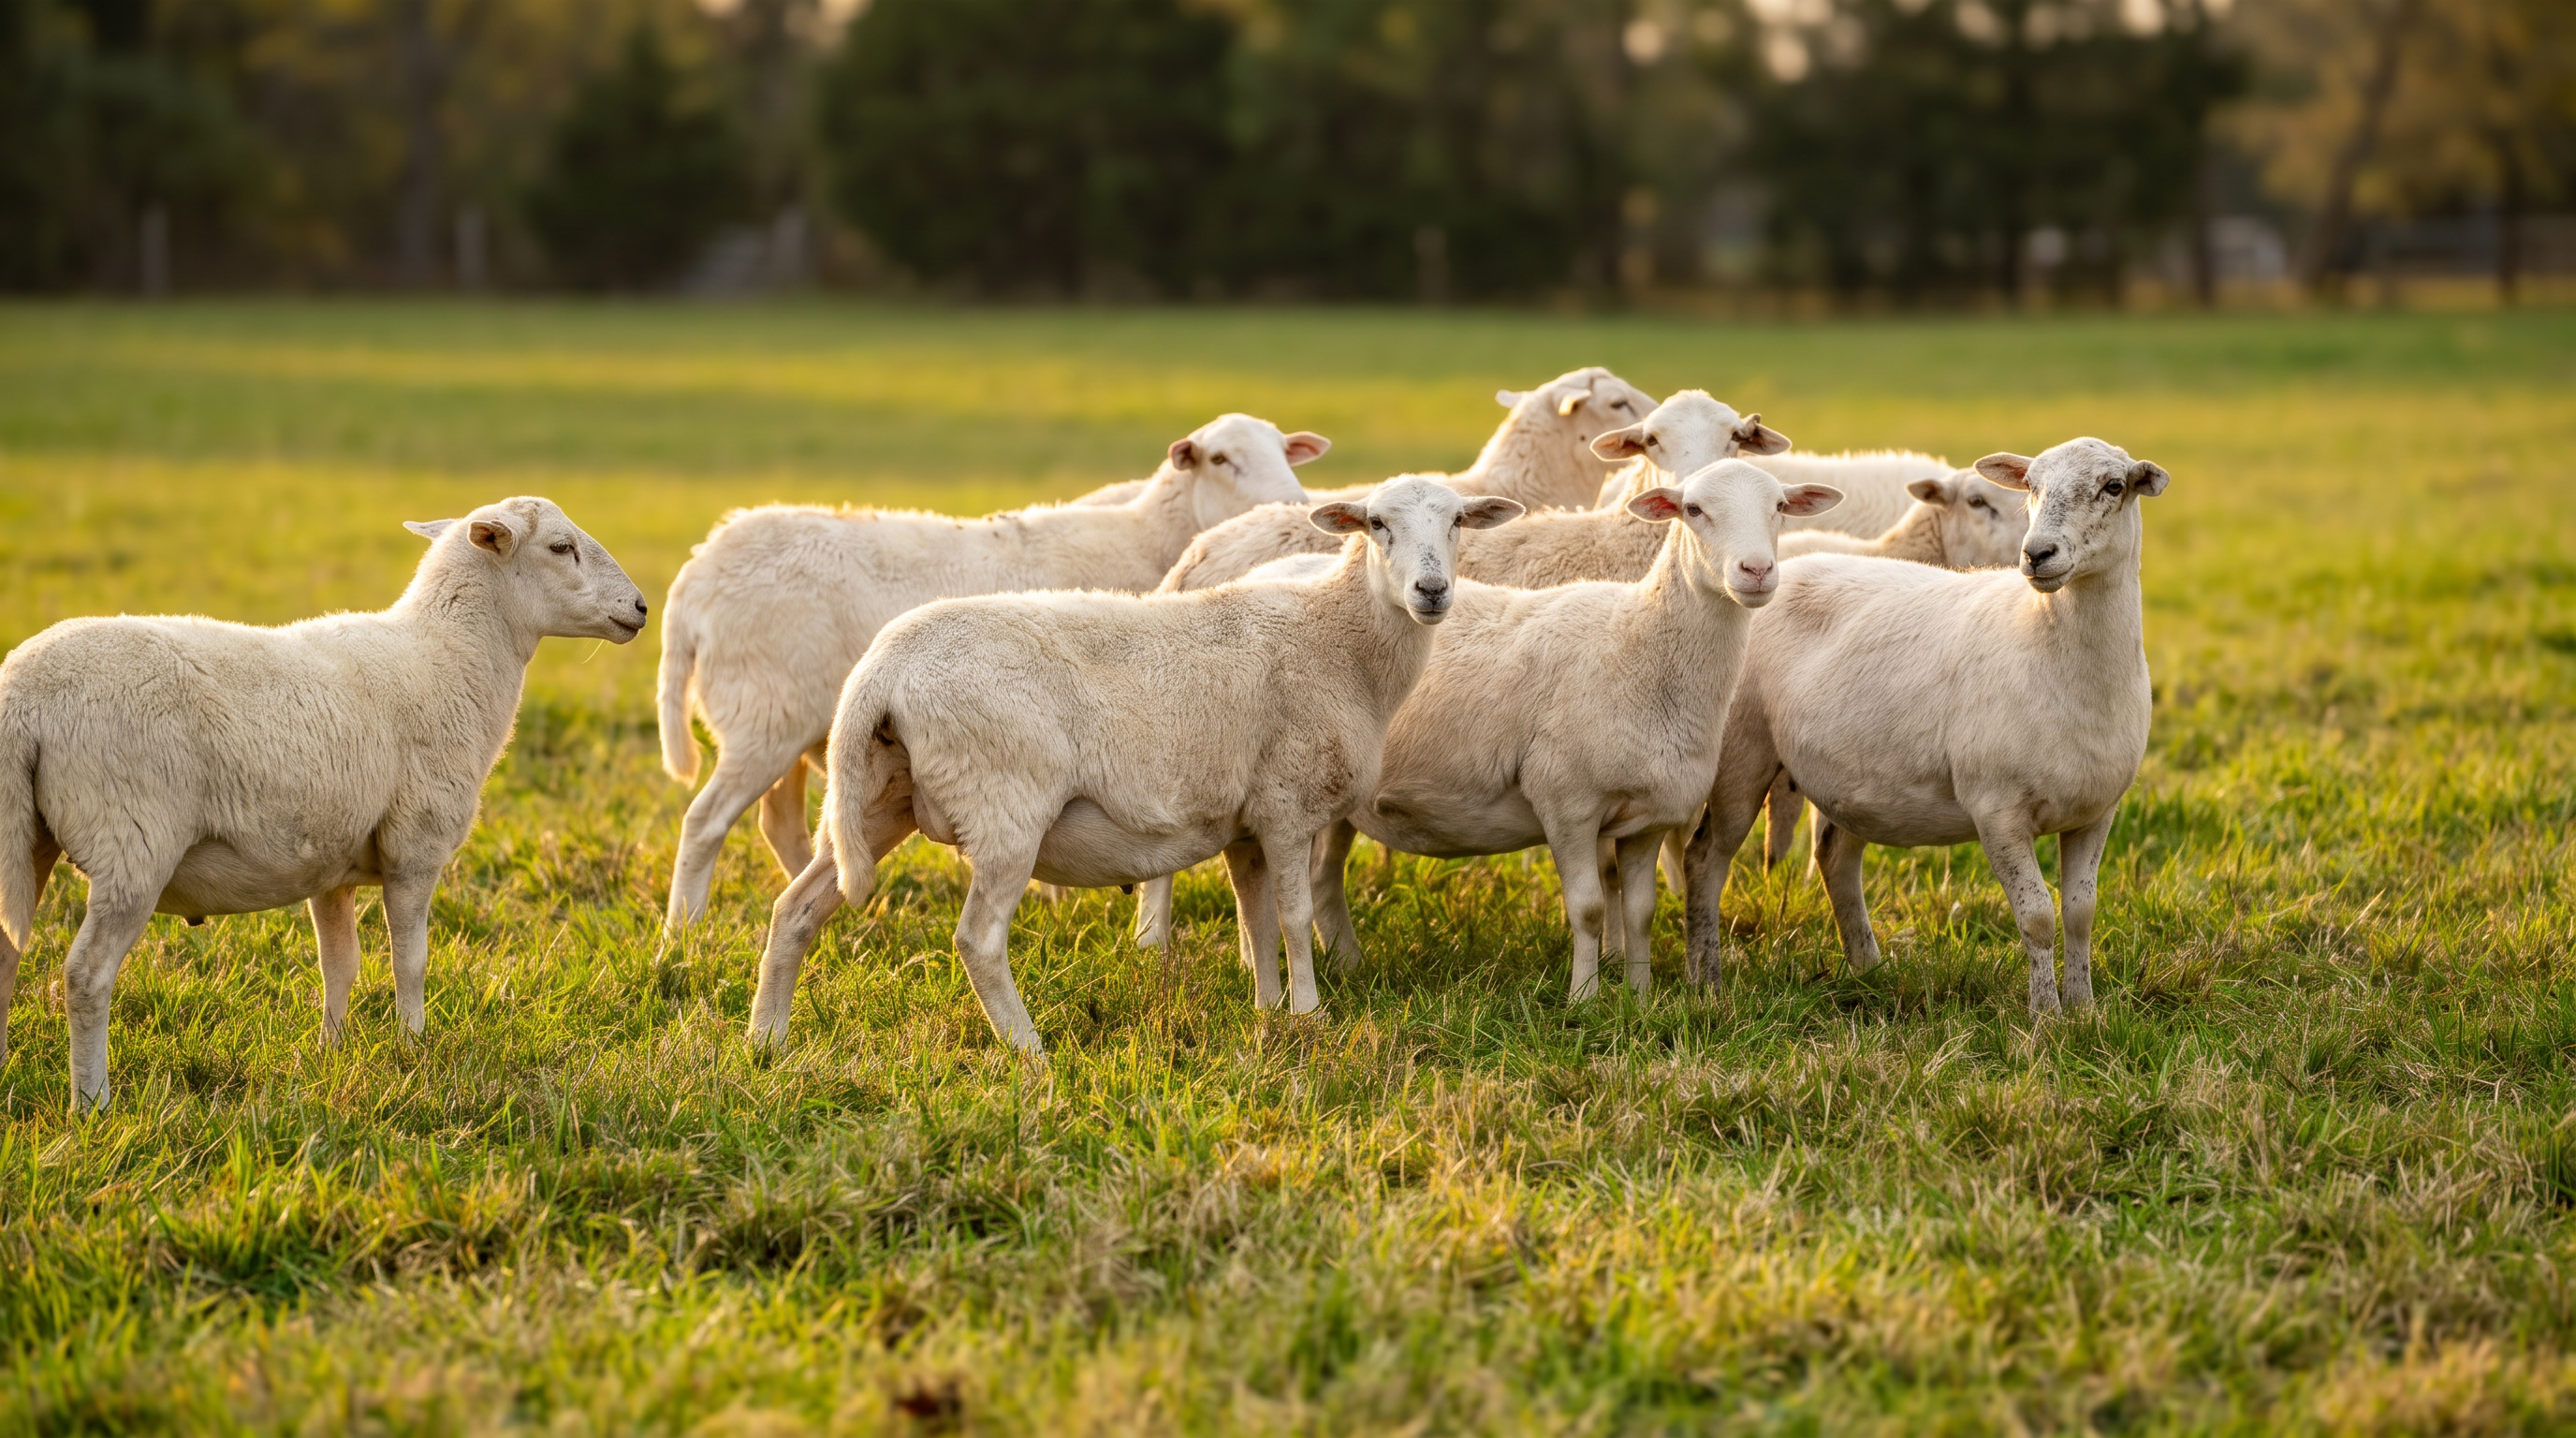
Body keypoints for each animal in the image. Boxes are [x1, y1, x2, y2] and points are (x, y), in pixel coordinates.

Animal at [0, 498, 647, 1110]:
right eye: (561, 547)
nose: (641, 608)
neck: (448, 658)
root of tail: (23, 699)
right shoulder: (415, 845)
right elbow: (410, 961)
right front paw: (414, 1048)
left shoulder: (330, 865)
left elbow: (340, 965)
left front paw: (330, 1053)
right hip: (132, 842)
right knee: (86, 976)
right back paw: (92, 1103)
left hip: (24, 836)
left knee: (6, 956)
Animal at [655, 412, 1327, 930]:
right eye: (1220, 458)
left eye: (1284, 449)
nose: (1295, 505)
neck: (1147, 536)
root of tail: (697, 570)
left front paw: (1056, 902)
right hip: (762, 717)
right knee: (703, 823)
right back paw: (683, 932)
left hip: (792, 730)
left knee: (783, 824)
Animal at [741, 478, 1524, 1052]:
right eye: (1377, 524)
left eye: (1458, 522)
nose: (1431, 592)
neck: (1341, 640)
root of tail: (880, 670)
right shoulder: (1285, 805)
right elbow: (1296, 916)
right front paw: (1310, 1016)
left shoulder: (1245, 822)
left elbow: (1256, 920)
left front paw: (1268, 1012)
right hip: (1003, 807)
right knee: (978, 940)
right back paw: (1028, 1051)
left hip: (878, 797)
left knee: (795, 909)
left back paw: (766, 1042)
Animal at [1677, 438, 2169, 1015]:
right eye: (2030, 486)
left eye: (2114, 486)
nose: (2036, 554)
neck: (2047, 644)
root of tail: (1783, 566)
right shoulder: (1996, 809)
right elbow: (2038, 918)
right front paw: (2046, 1017)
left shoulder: (2096, 811)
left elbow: (2080, 914)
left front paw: (2085, 1010)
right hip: (1740, 755)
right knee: (1704, 858)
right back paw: (1705, 980)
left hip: (1851, 777)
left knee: (1835, 860)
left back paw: (1868, 969)